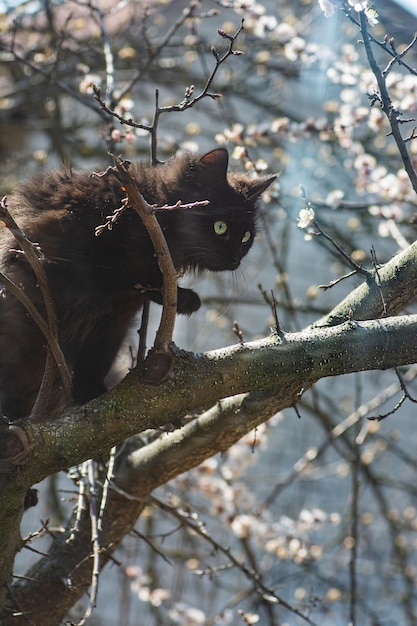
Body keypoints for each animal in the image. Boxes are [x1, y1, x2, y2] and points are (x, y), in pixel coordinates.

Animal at [0, 147, 276, 420]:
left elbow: (96, 360)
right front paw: (184, 298)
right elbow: (124, 277)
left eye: (246, 237)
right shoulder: (63, 256)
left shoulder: (114, 321)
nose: (235, 258)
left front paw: (90, 395)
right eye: (220, 227)